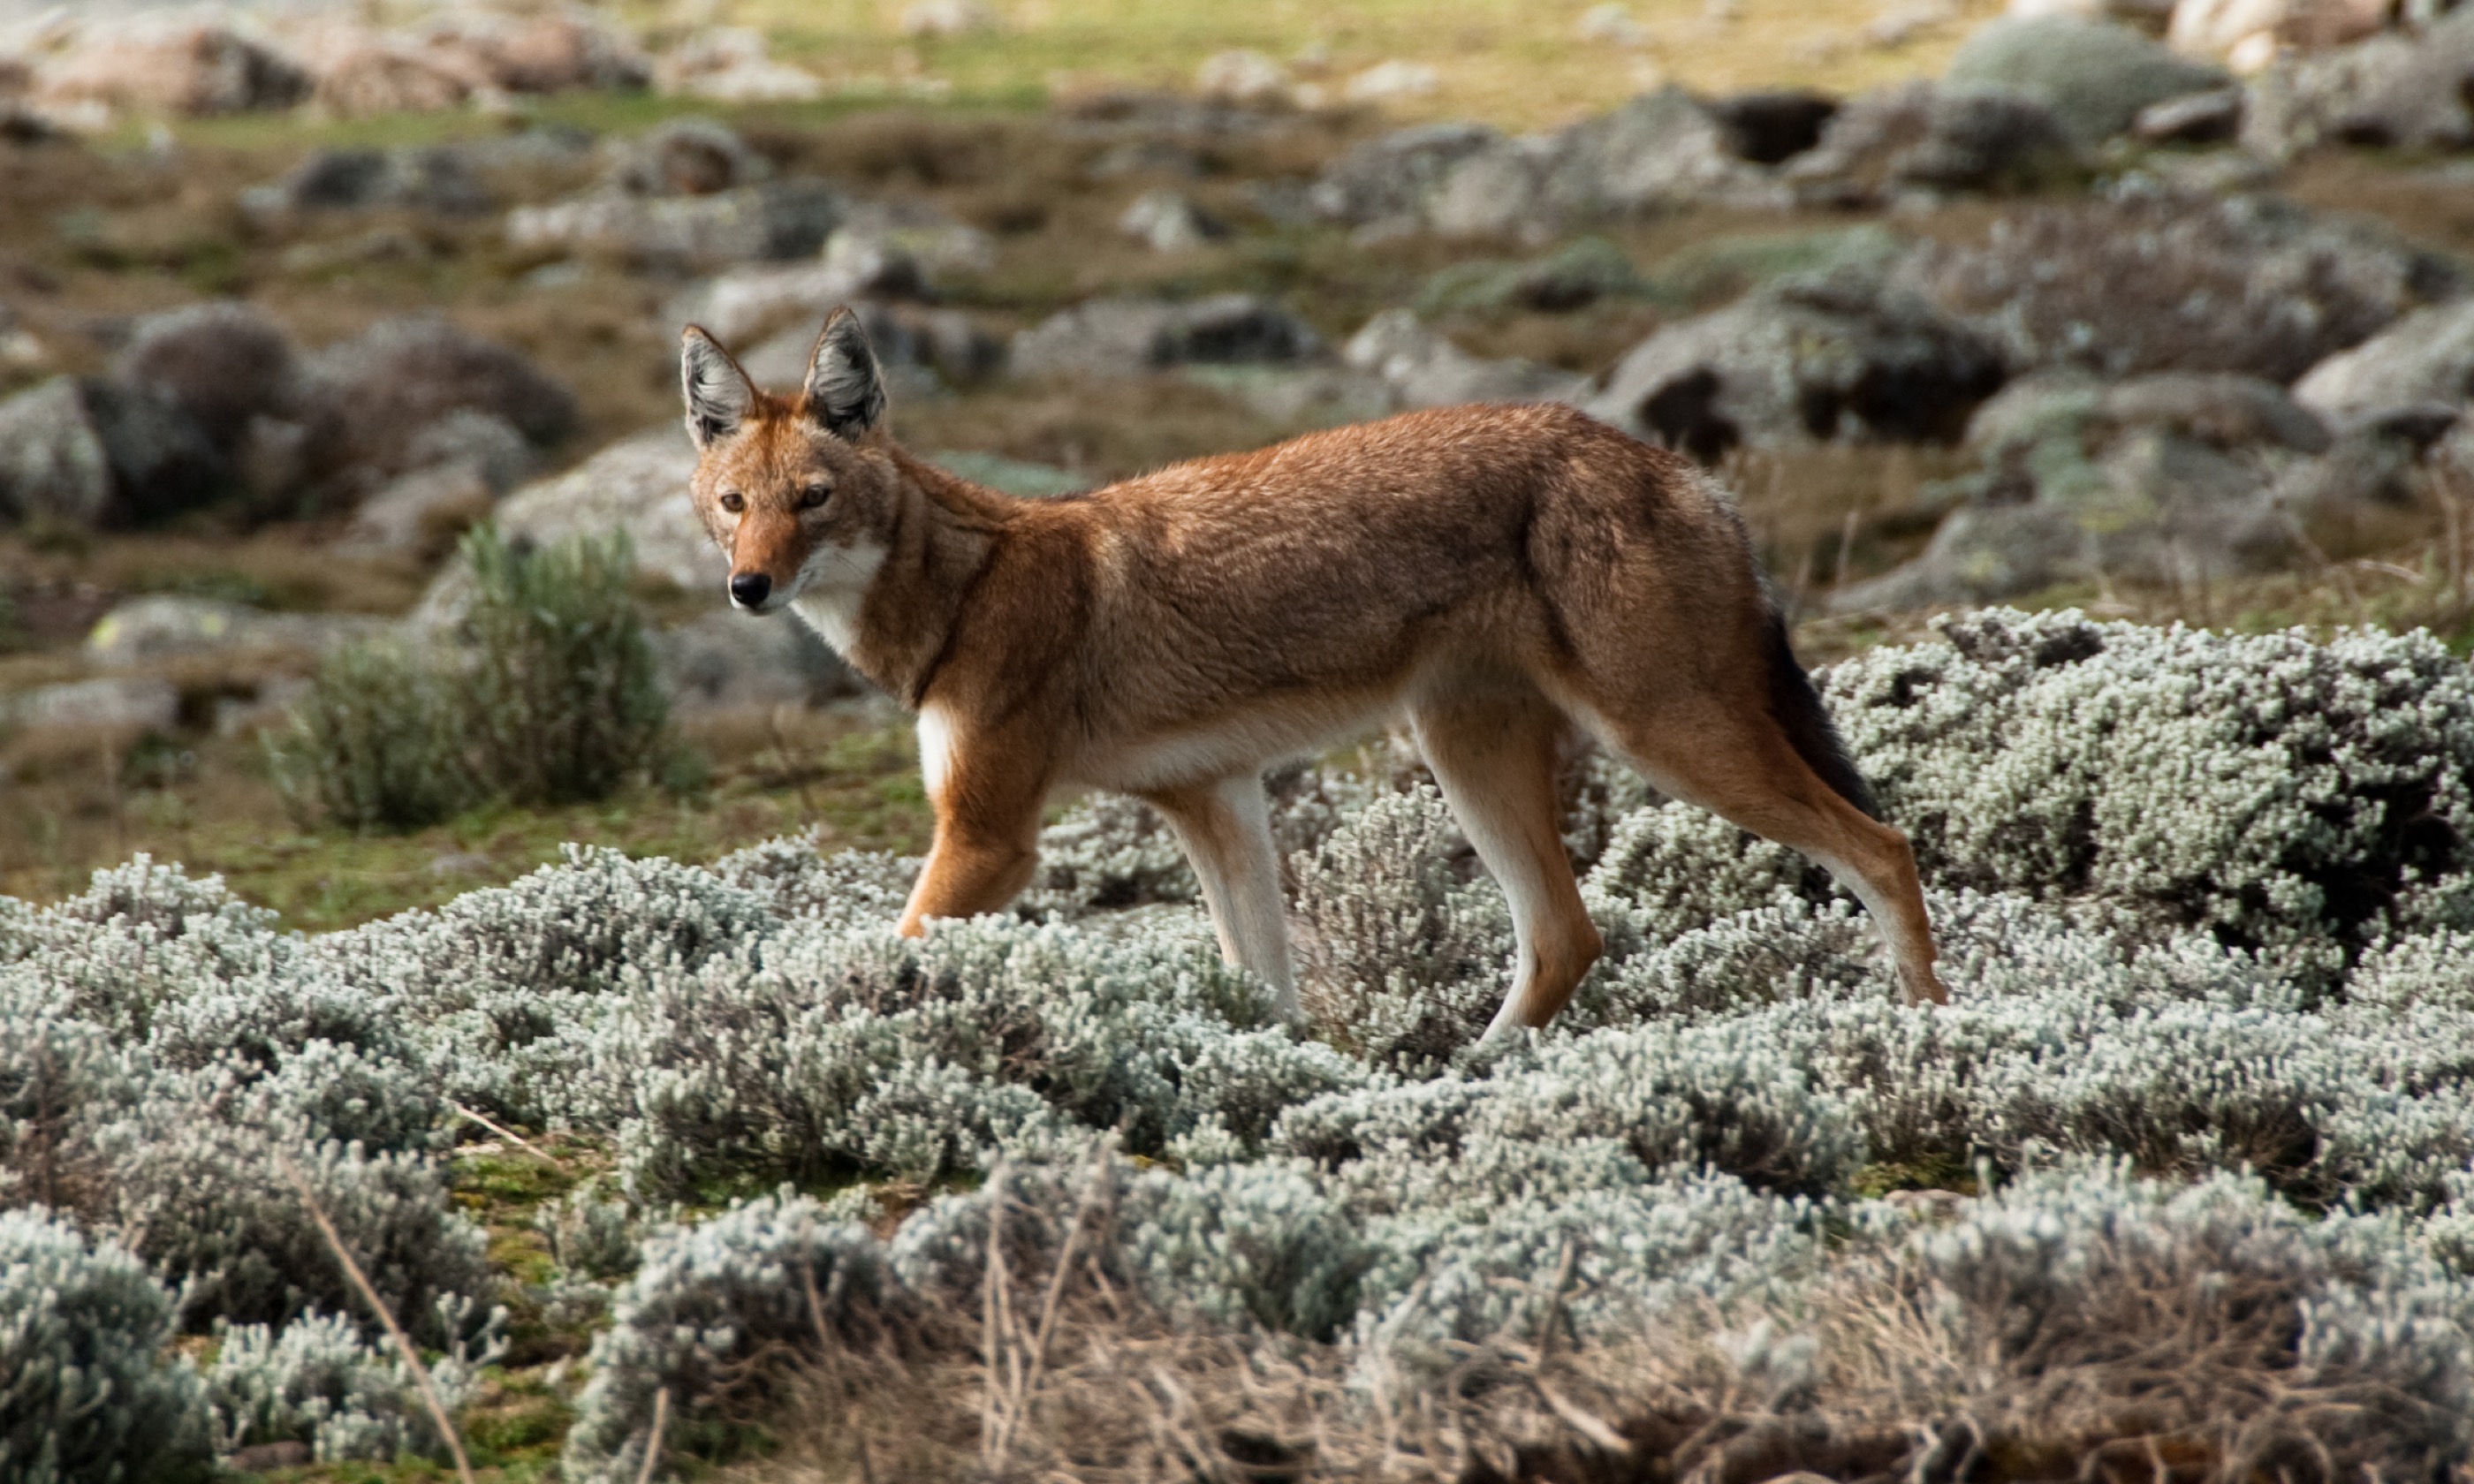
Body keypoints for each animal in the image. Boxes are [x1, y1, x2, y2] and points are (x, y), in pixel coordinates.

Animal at [687, 309, 1939, 1039]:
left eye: (814, 500)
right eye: (733, 504)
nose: (748, 589)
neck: (965, 587)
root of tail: (1680, 470)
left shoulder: (990, 838)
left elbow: (887, 956)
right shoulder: (1214, 799)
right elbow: (1264, 991)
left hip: (1666, 743)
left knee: (1882, 847)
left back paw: (1931, 1040)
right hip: (1469, 755)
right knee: (1566, 937)